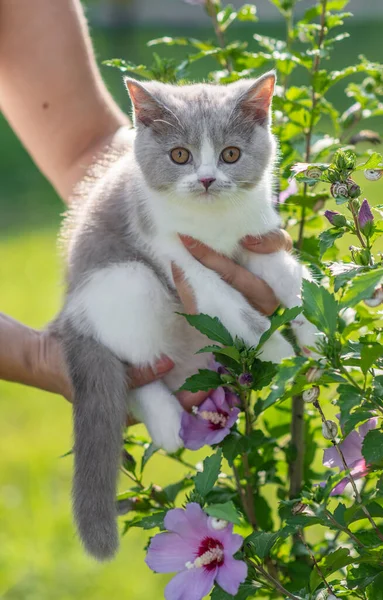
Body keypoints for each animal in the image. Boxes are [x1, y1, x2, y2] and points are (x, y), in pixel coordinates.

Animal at [53, 71, 318, 564]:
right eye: (180, 155)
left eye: (231, 153)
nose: (208, 178)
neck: (213, 224)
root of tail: (68, 317)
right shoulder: (177, 256)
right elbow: (233, 305)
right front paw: (279, 350)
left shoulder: (257, 238)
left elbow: (289, 278)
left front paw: (316, 332)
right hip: (124, 281)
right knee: (137, 370)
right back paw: (166, 422)